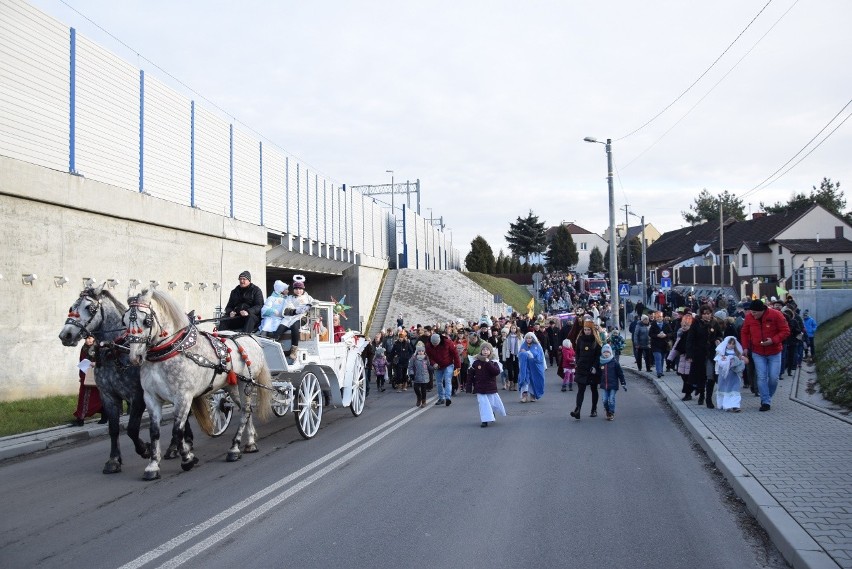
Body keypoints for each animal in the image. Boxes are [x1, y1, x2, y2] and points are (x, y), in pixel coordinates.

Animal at [59, 286, 152, 472]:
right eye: (71, 307)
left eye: (90, 308)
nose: (66, 335)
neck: (116, 351)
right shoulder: (108, 396)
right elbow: (114, 428)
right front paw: (114, 460)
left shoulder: (137, 396)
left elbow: (132, 429)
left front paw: (145, 449)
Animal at [121, 288, 270, 480]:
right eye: (124, 321)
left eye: (146, 321)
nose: (135, 357)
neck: (171, 351)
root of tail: (251, 338)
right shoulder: (151, 398)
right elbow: (154, 432)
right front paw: (153, 465)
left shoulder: (183, 397)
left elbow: (177, 430)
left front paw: (187, 459)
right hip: (233, 385)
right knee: (248, 410)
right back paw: (250, 442)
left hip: (246, 385)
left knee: (245, 412)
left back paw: (234, 448)